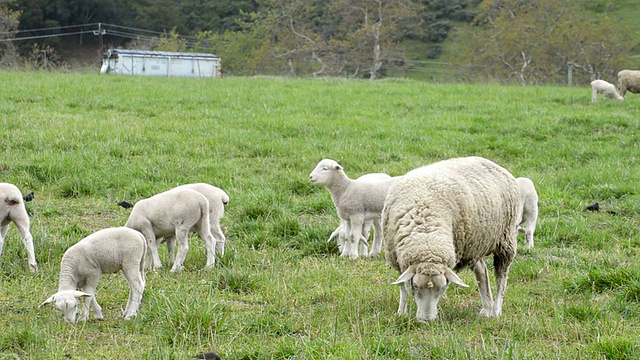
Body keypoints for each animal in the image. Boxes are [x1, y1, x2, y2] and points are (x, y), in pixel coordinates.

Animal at [382, 156, 516, 322]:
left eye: (442, 288)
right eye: (416, 286)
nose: (427, 321)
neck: (426, 233)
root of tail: (491, 163)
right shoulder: (398, 260)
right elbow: (403, 287)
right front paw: (401, 312)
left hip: (506, 240)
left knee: (501, 278)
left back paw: (496, 310)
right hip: (475, 243)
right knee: (482, 271)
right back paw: (486, 309)